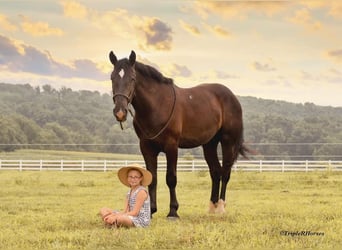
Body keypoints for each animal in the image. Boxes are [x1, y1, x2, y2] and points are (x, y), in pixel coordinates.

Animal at [109, 49, 248, 218]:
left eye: (132, 78)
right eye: (112, 77)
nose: (120, 112)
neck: (158, 104)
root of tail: (232, 97)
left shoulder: (171, 146)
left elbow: (171, 178)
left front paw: (173, 211)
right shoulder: (147, 147)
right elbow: (152, 178)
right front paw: (151, 211)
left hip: (228, 141)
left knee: (225, 172)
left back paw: (221, 206)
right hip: (209, 144)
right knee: (215, 172)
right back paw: (212, 207)